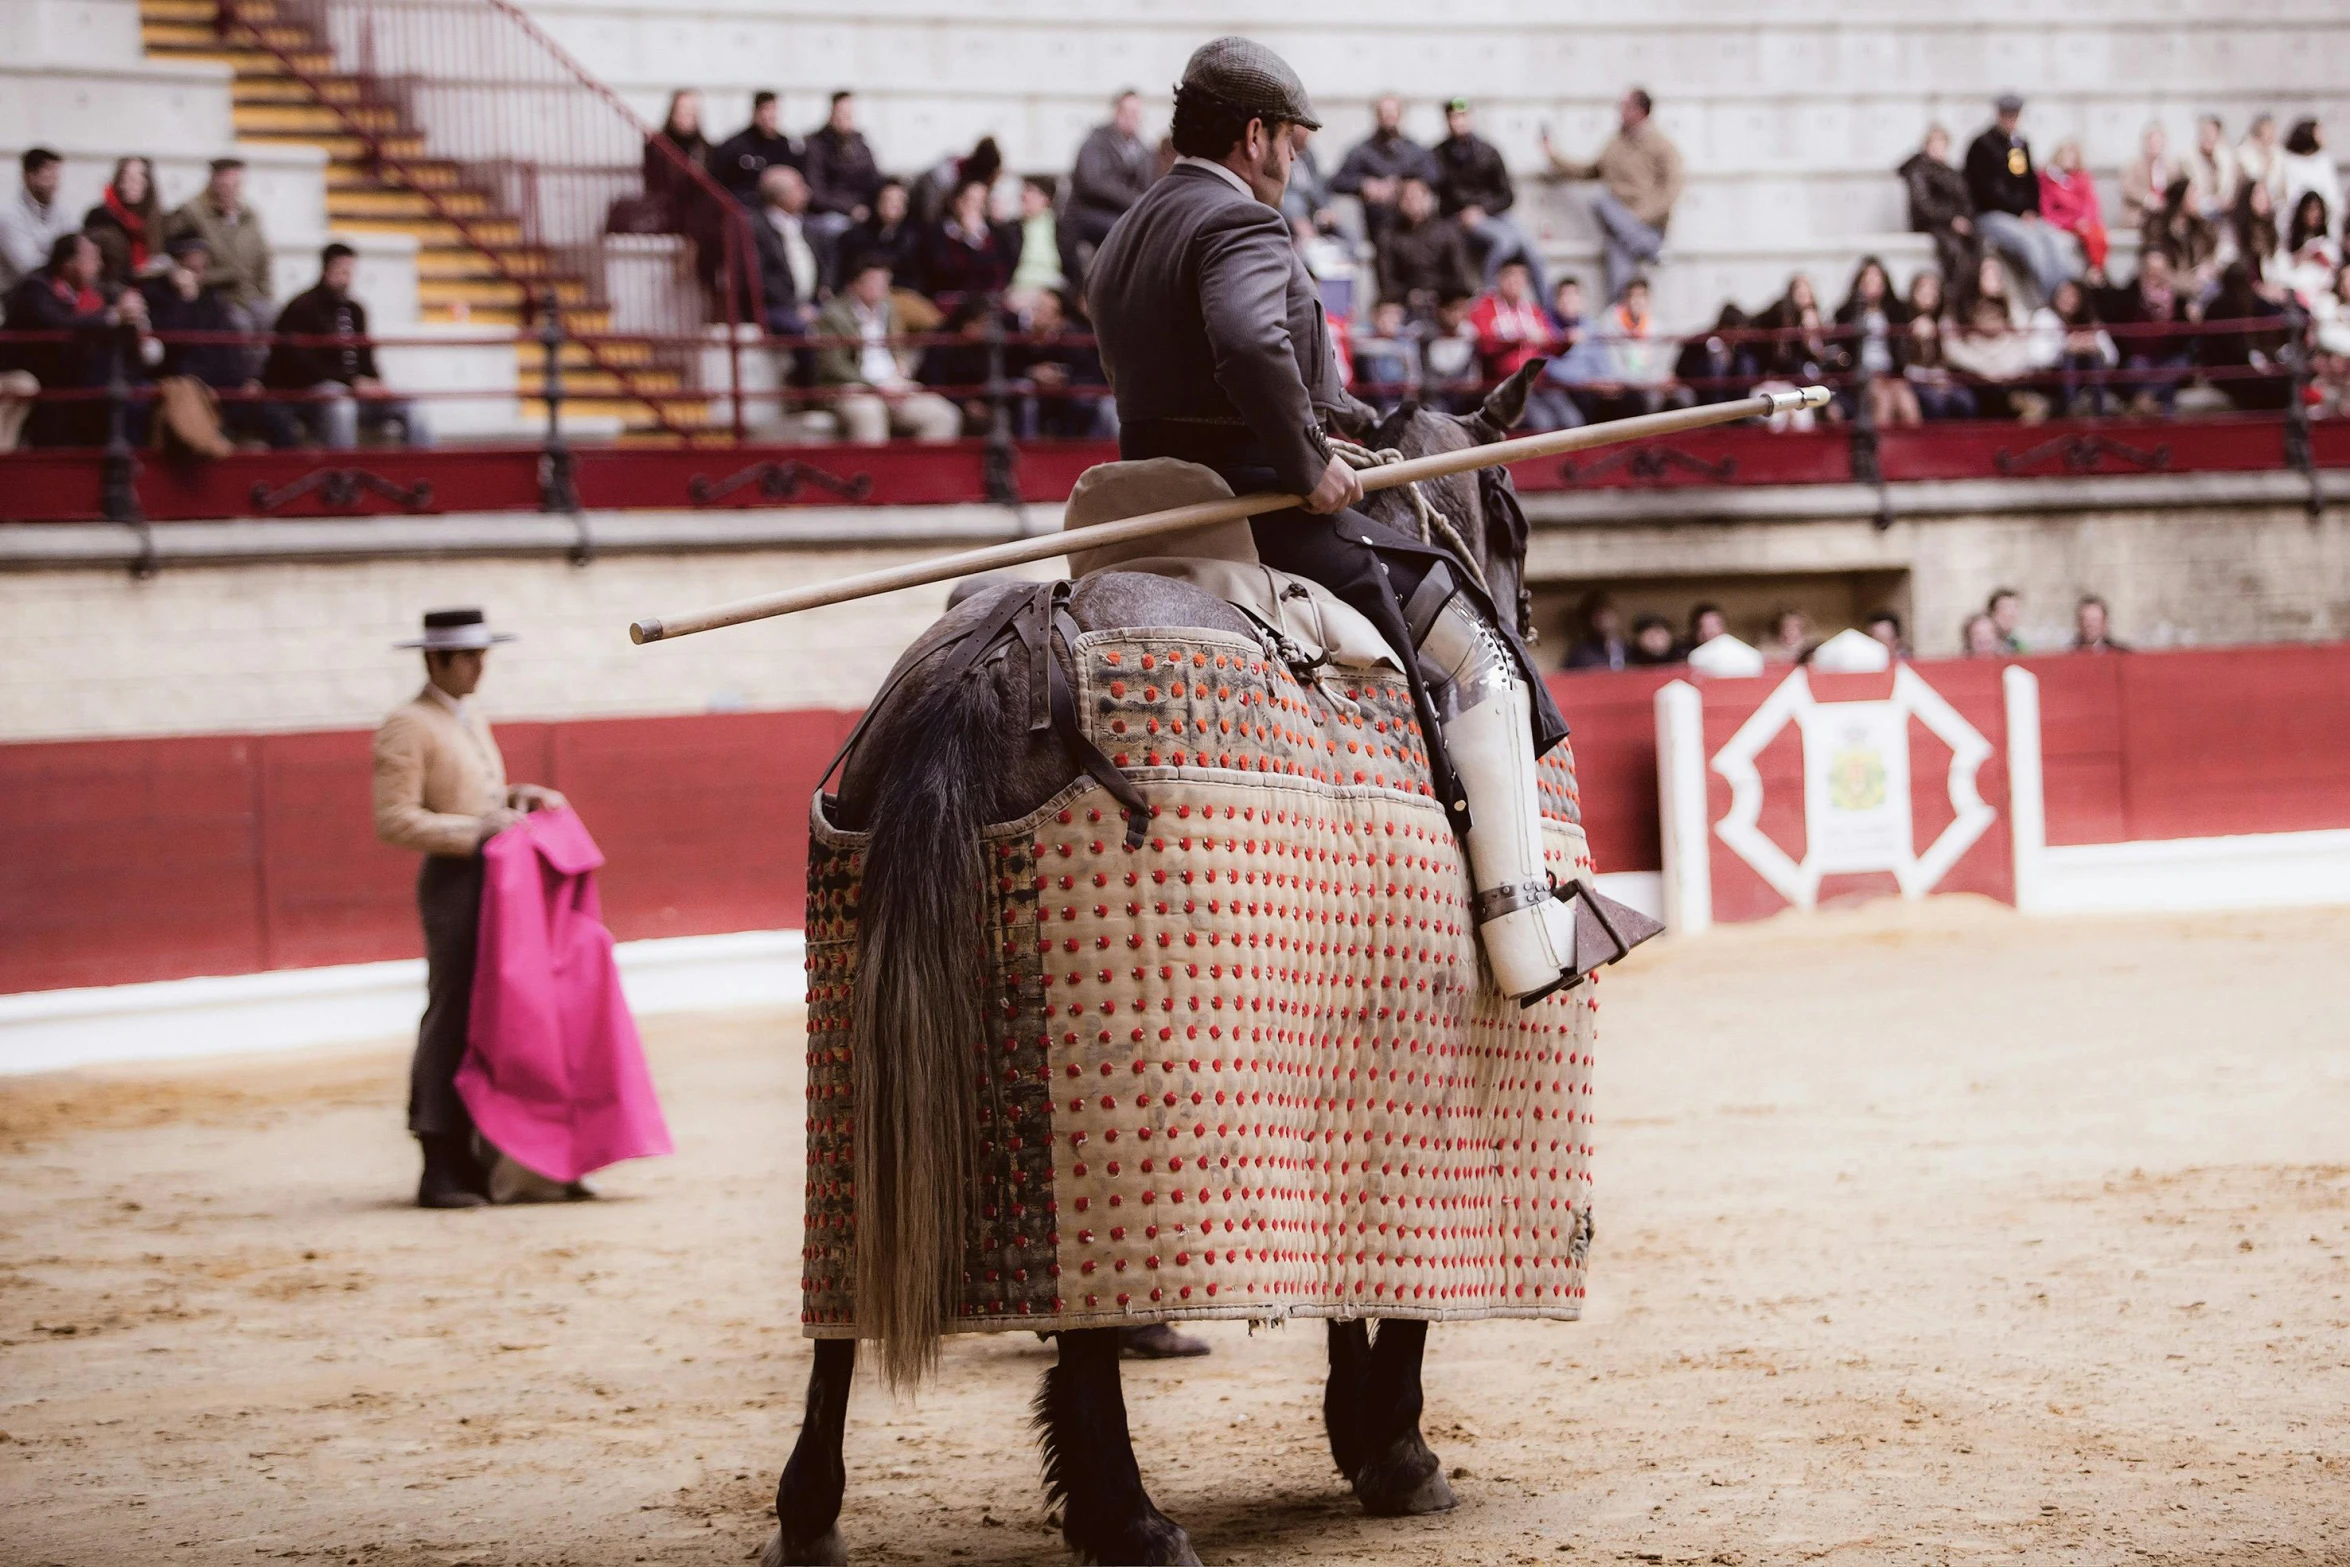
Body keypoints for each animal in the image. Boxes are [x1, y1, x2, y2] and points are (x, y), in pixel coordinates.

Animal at [770, 361, 1560, 1567]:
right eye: (1509, 521)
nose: (1521, 626)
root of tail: (1013, 637)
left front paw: (1364, 1434)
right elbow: (1400, 1269)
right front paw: (1394, 1449)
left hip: (878, 1079)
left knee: (851, 1302)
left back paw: (813, 1516)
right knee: (1084, 1312)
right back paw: (1129, 1514)